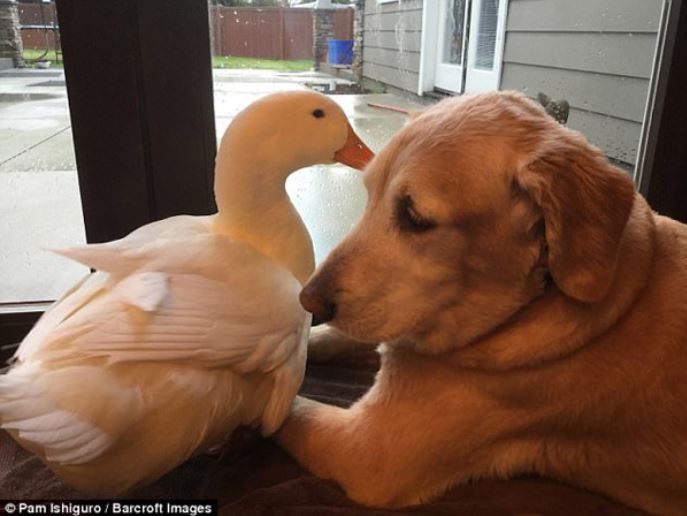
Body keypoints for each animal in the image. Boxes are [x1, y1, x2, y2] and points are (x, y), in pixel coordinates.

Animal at [276, 90, 687, 512]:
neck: (530, 303)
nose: (309, 301)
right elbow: (338, 338)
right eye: (370, 196)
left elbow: (289, 411)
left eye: (414, 217)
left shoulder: (365, 448)